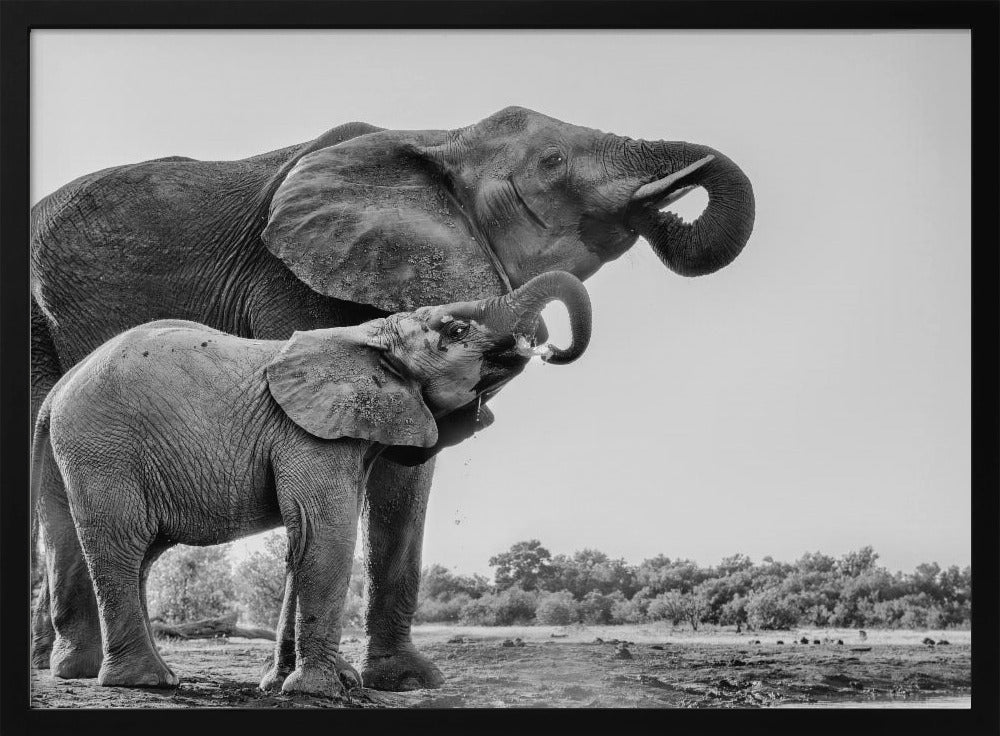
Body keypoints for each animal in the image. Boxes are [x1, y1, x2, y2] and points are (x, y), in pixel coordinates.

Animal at [31, 271, 591, 694]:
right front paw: (320, 691)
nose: (549, 348)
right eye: (452, 329)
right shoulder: (308, 433)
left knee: (105, 549)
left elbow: (302, 545)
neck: (368, 335)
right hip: (103, 448)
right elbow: (326, 536)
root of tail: (58, 391)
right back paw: (148, 681)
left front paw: (284, 685)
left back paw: (82, 673)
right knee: (122, 546)